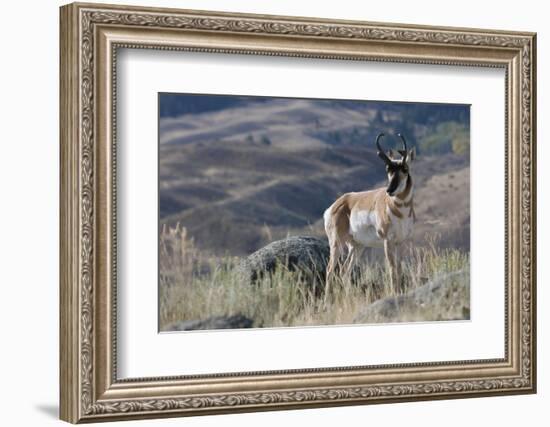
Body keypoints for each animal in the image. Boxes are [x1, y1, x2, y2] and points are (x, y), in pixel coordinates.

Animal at [324, 133, 418, 298]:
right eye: (388, 169)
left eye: (405, 169)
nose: (389, 190)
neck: (400, 211)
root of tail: (336, 205)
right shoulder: (388, 241)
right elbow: (392, 269)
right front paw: (394, 293)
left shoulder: (401, 242)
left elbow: (399, 269)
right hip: (336, 243)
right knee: (330, 270)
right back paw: (327, 301)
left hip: (357, 247)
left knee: (344, 271)